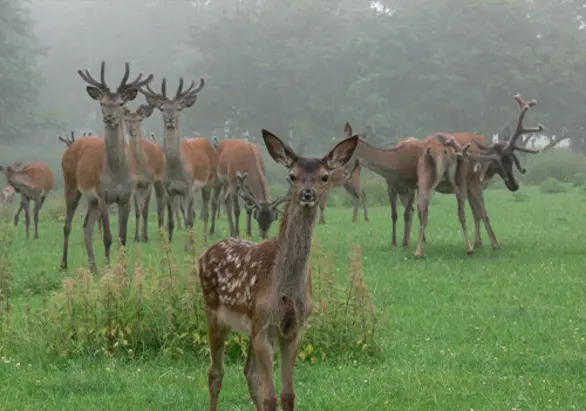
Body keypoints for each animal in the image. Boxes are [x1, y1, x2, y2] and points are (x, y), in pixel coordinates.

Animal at [60, 61, 153, 274]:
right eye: (102, 103)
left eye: (120, 103)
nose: (109, 117)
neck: (116, 172)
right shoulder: (103, 195)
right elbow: (108, 237)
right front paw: (110, 268)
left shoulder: (126, 196)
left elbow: (122, 236)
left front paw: (122, 269)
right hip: (71, 184)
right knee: (68, 226)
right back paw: (64, 264)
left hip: (91, 199)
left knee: (86, 227)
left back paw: (93, 267)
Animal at [122, 103, 165, 243]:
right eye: (127, 120)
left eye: (139, 120)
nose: (131, 130)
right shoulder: (136, 184)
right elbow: (137, 211)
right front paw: (137, 237)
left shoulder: (149, 182)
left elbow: (146, 210)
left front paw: (146, 237)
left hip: (161, 180)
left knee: (161, 202)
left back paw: (161, 231)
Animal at [137, 76, 217, 245]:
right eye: (162, 107)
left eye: (179, 107)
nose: (170, 118)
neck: (176, 170)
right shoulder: (169, 189)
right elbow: (171, 220)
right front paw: (169, 242)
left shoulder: (189, 186)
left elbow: (189, 220)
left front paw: (189, 245)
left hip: (209, 181)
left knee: (205, 213)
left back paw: (205, 239)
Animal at [198, 129, 358, 411]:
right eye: (292, 175)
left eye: (324, 176)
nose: (307, 194)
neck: (284, 290)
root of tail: (205, 253)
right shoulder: (264, 326)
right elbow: (271, 397)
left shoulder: (292, 330)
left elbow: (287, 395)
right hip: (213, 312)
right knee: (215, 373)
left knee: (249, 374)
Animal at [410, 95, 544, 260]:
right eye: (507, 161)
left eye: (512, 160)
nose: (515, 185)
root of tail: (439, 147)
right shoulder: (474, 184)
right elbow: (483, 213)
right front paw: (494, 244)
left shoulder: (469, 187)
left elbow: (476, 214)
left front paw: (479, 242)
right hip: (458, 179)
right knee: (460, 213)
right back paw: (468, 249)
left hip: (423, 177)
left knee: (423, 211)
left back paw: (418, 252)